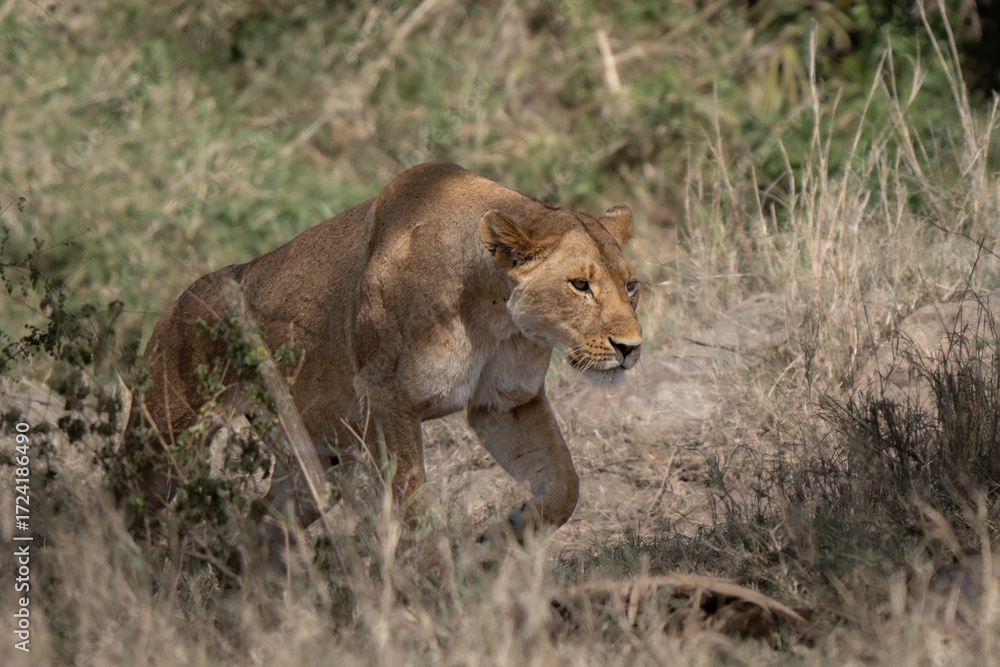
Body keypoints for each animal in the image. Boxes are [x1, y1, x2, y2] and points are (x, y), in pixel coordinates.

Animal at [120, 161, 642, 542]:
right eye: (580, 286)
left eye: (631, 286)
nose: (631, 348)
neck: (494, 316)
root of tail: (174, 305)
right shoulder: (387, 397)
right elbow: (412, 507)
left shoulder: (506, 403)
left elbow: (564, 487)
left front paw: (499, 540)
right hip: (165, 438)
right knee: (124, 504)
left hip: (317, 465)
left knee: (260, 521)